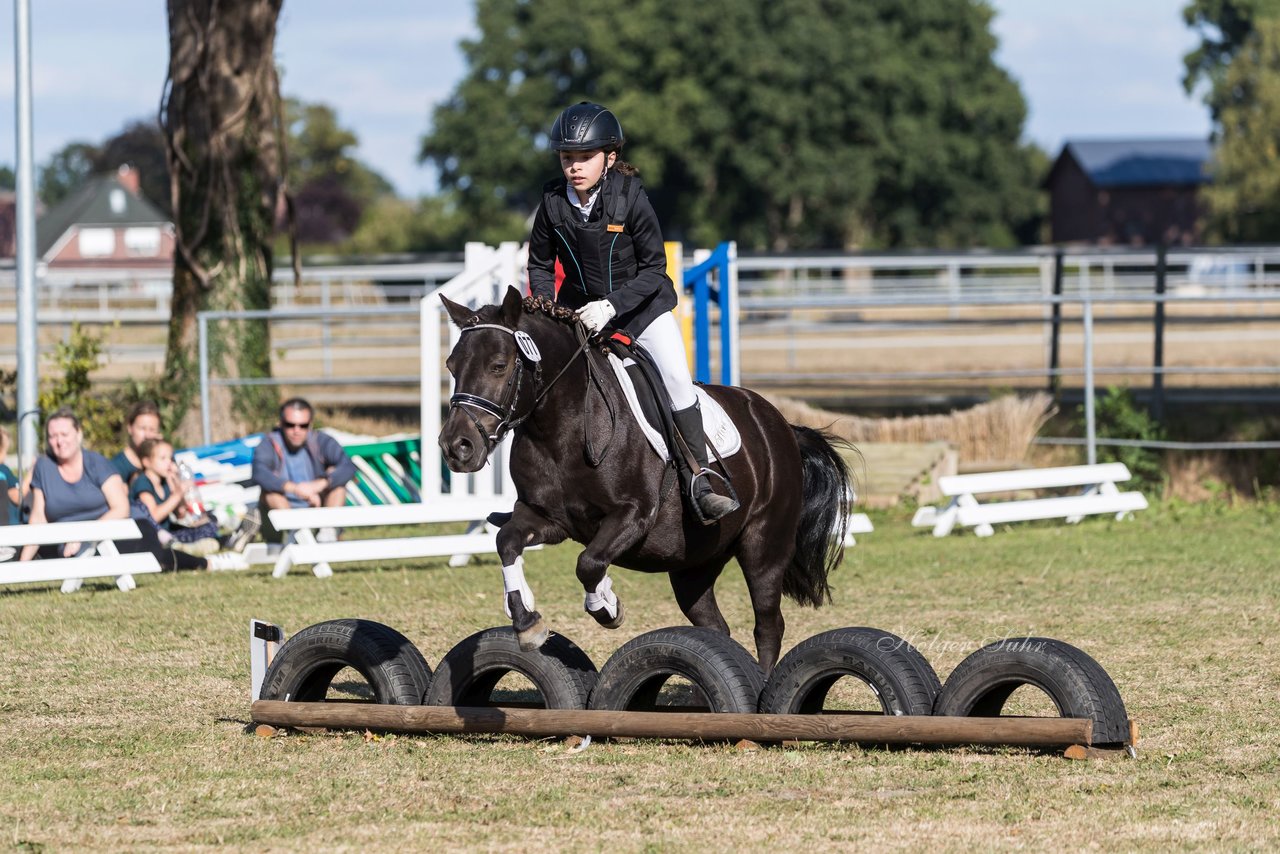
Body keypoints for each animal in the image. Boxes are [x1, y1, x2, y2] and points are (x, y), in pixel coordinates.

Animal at [440, 286, 849, 676]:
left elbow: (589, 562)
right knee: (715, 628)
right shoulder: (547, 518)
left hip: (763, 547)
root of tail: (781, 425)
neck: (562, 425)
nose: (457, 447)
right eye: (451, 365)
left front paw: (606, 604)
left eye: (498, 365)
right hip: (694, 564)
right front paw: (526, 621)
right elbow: (508, 542)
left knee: (768, 626)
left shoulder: (633, 515)